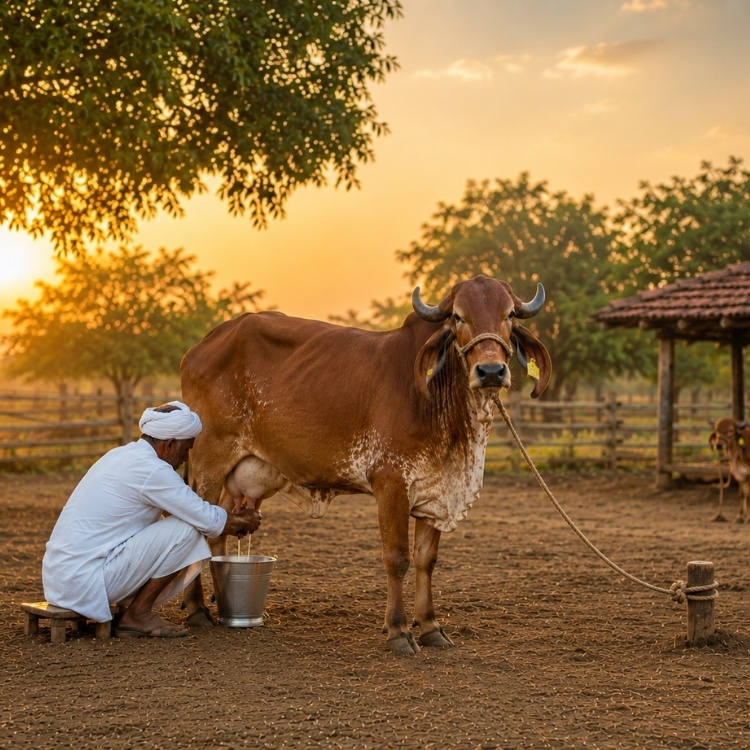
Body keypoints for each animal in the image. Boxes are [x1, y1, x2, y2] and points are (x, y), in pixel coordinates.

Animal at [180, 274, 552, 654]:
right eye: (458, 317)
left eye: (510, 316)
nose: (491, 371)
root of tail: (204, 343)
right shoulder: (391, 484)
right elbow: (398, 558)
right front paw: (399, 631)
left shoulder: (435, 491)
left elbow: (426, 560)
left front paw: (430, 627)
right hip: (210, 461)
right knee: (198, 526)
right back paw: (197, 611)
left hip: (238, 470)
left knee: (220, 529)